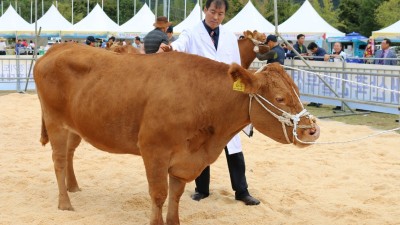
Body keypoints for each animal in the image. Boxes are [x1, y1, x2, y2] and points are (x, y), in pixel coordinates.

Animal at [33, 42, 318, 225]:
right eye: (280, 98)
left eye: (297, 91)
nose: (312, 130)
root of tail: (59, 47)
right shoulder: (153, 150)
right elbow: (159, 194)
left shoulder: (185, 159)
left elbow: (176, 194)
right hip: (55, 122)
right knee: (59, 160)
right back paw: (65, 203)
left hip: (75, 125)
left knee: (70, 153)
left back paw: (73, 187)